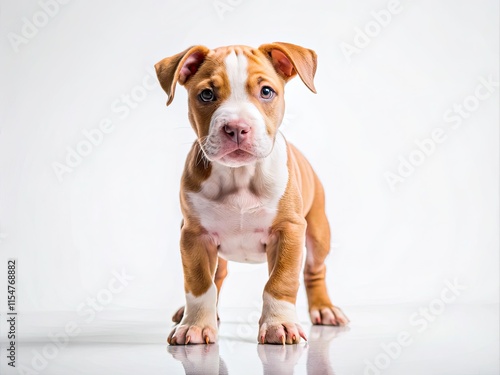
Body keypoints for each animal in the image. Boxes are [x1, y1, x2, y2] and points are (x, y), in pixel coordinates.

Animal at [155, 41, 348, 346]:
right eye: (207, 94)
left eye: (266, 91)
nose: (236, 128)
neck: (240, 177)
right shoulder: (194, 236)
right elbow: (199, 284)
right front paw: (195, 326)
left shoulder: (289, 230)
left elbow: (280, 281)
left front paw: (279, 325)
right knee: (217, 277)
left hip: (318, 233)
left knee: (315, 270)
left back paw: (324, 309)